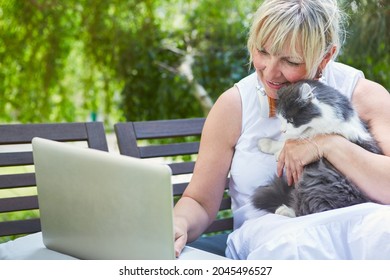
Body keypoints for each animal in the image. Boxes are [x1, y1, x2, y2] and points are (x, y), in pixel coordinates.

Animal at [251, 80, 382, 218]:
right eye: (280, 119)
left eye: (290, 120)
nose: (282, 130)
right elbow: (287, 140)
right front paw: (266, 144)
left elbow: (290, 141)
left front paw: (277, 152)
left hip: (316, 179)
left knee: (307, 211)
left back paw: (284, 210)